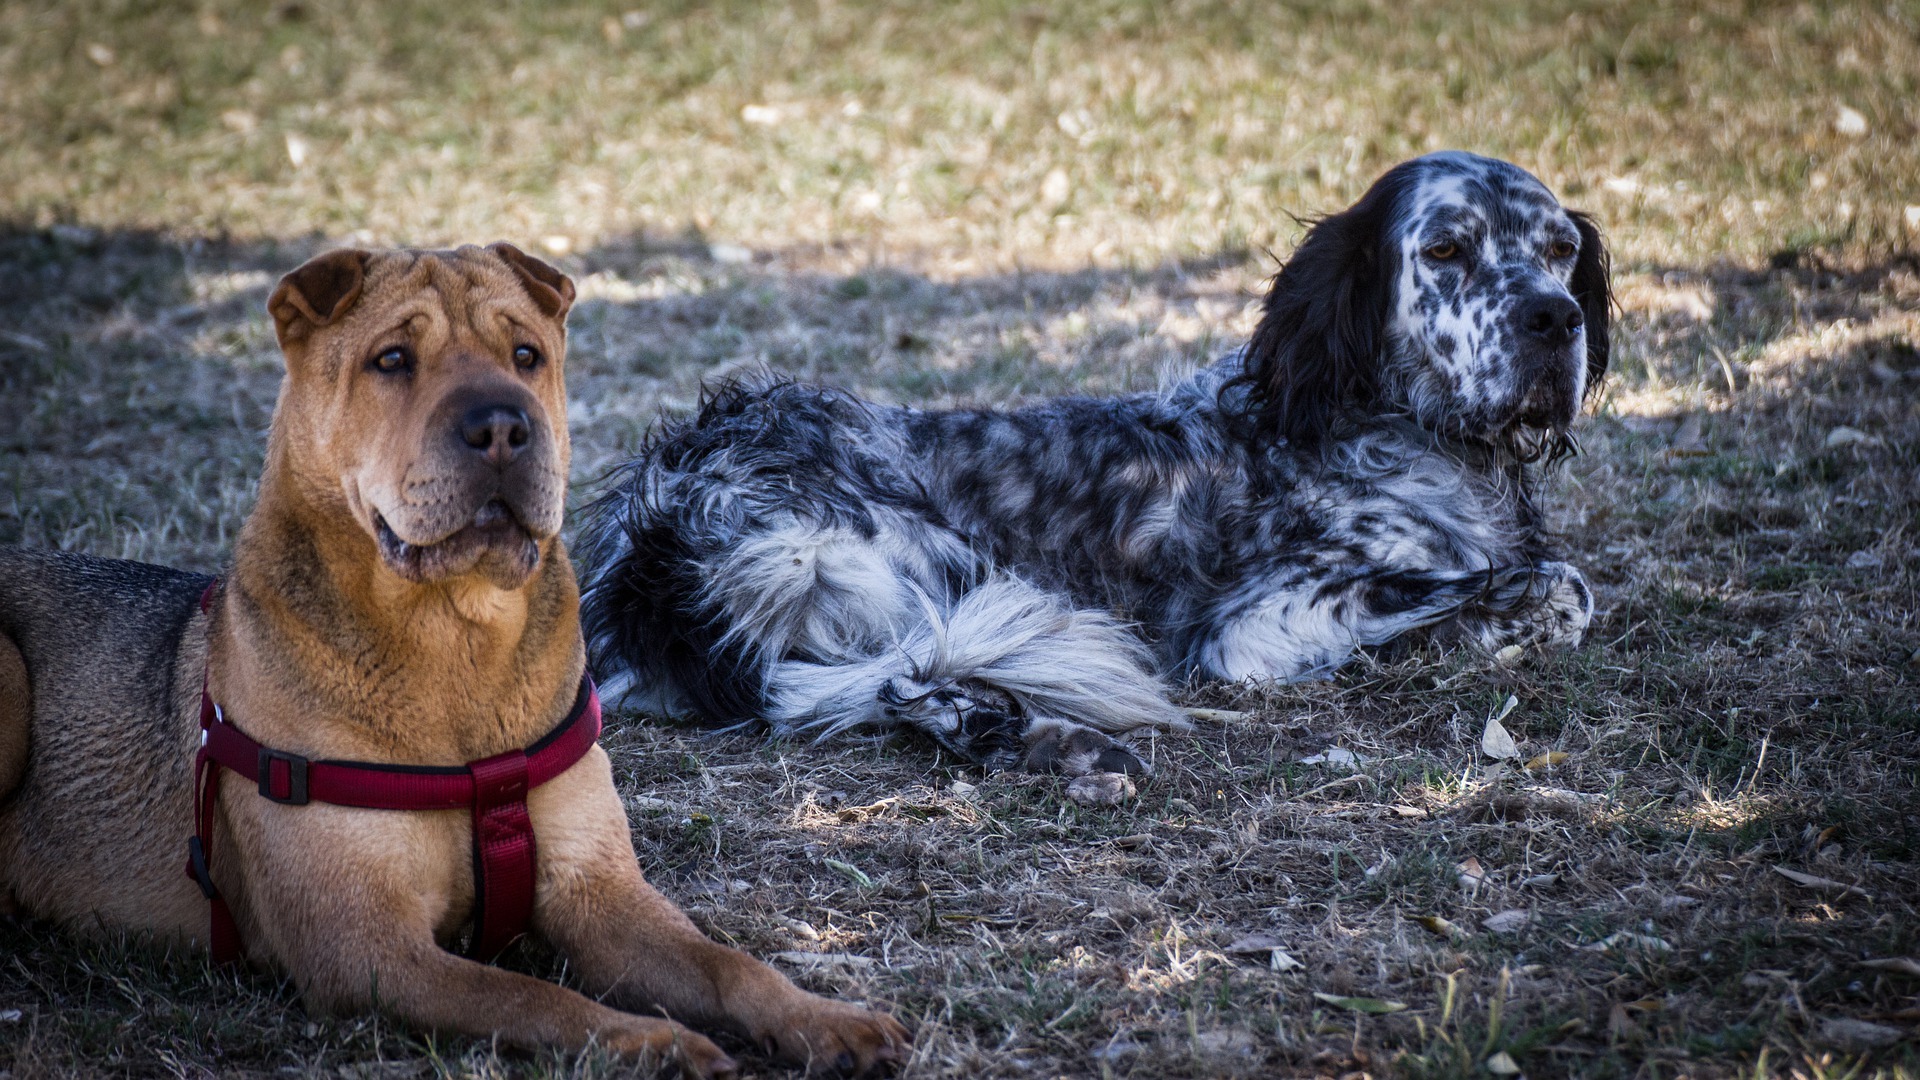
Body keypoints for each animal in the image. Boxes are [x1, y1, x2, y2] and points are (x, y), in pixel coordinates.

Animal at [0, 239, 910, 1068]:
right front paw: (650, 1042)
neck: (454, 643)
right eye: (392, 360)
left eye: (526, 356)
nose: (503, 425)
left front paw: (826, 1020)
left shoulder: (600, 896)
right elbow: (530, 995)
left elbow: (726, 964)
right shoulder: (366, 947)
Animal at [576, 151, 1612, 772]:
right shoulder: (1260, 626)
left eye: (1561, 248)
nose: (1556, 318)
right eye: (1446, 249)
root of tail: (653, 530)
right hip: (891, 554)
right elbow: (1556, 584)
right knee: (898, 673)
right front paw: (1492, 619)